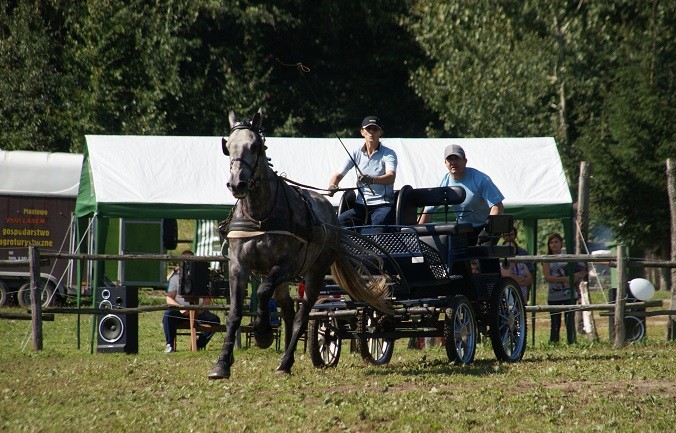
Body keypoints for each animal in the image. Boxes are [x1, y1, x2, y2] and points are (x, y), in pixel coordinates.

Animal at [211, 109, 390, 378]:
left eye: (255, 146)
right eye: (228, 146)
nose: (237, 184)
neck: (259, 215)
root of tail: (330, 213)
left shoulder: (286, 266)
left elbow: (262, 292)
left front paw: (263, 332)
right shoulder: (238, 266)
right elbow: (234, 313)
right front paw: (222, 363)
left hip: (314, 274)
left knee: (301, 316)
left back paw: (285, 361)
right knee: (288, 311)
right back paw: (286, 355)